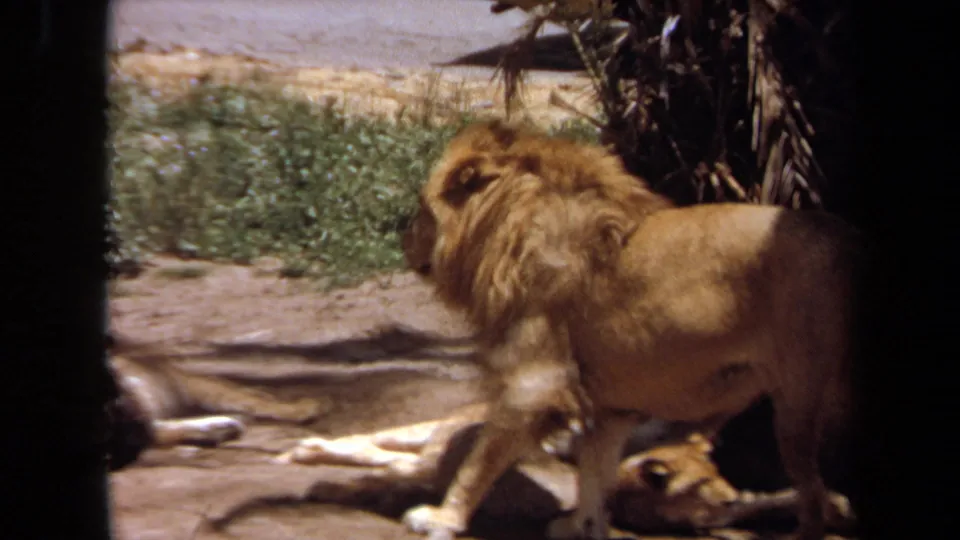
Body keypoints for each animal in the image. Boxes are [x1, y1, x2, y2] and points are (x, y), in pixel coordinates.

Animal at [400, 120, 859, 540]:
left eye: (422, 208)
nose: (404, 243)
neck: (505, 230)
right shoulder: (610, 406)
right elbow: (594, 472)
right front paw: (581, 525)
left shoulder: (535, 382)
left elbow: (477, 463)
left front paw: (442, 518)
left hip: (800, 404)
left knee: (813, 502)